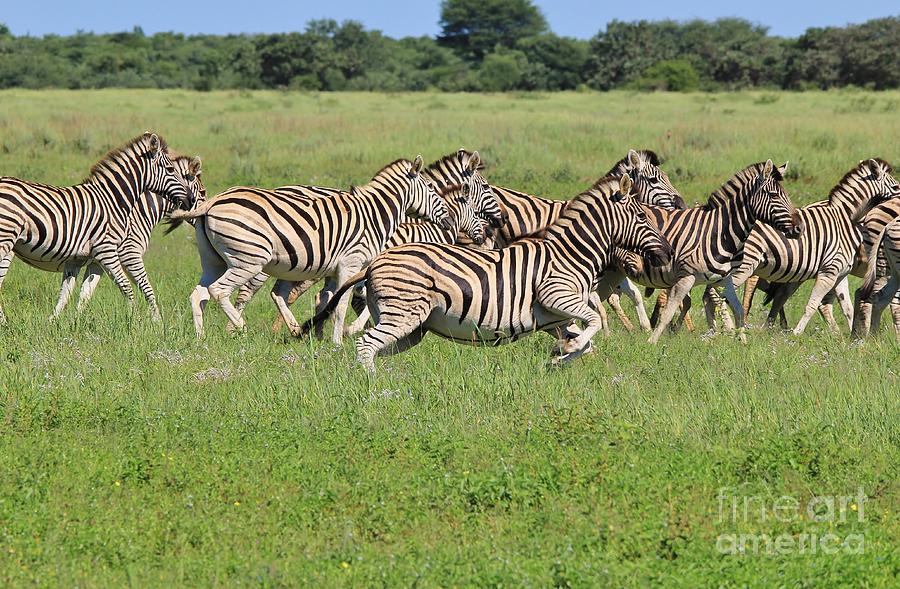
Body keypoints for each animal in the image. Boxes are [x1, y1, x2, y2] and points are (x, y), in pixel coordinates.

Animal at [0, 131, 195, 324]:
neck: (113, 200)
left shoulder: (79, 258)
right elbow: (127, 287)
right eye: (170, 170)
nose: (191, 199)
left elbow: (74, 293)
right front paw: (136, 322)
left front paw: (65, 324)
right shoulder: (107, 250)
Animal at [171, 155, 450, 344]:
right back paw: (241, 327)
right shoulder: (351, 264)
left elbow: (329, 302)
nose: (447, 218)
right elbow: (341, 304)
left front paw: (320, 337)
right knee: (219, 291)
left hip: (213, 261)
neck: (373, 215)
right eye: (432, 189)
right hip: (248, 260)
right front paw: (338, 341)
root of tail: (213, 201)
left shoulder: (336, 270)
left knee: (199, 294)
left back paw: (201, 338)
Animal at [298, 171, 672, 372]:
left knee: (375, 348)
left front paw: (558, 358)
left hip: (410, 327)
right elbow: (592, 322)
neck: (571, 255)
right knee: (365, 346)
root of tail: (375, 263)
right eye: (642, 216)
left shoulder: (556, 318)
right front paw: (565, 351)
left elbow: (586, 342)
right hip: (403, 314)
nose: (667, 253)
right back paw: (375, 392)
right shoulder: (556, 296)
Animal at [596, 161, 800, 344]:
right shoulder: (686, 277)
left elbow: (738, 309)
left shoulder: (725, 279)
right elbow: (669, 312)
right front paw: (652, 343)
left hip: (614, 272)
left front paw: (742, 341)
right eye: (774, 195)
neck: (720, 231)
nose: (800, 228)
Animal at [732, 158, 900, 334]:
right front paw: (796, 334)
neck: (845, 219)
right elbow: (813, 304)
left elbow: (846, 306)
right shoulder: (832, 270)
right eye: (895, 187)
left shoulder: (838, 273)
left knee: (780, 294)